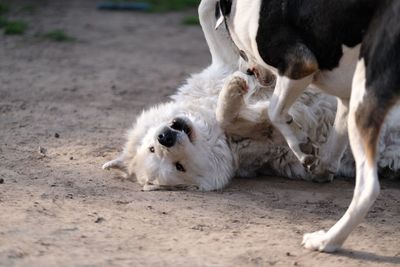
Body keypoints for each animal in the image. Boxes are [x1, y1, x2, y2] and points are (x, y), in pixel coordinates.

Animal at [102, 0, 400, 194]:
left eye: (152, 147)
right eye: (178, 167)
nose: (165, 137)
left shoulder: (226, 62)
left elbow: (204, 13)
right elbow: (258, 115)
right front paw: (236, 94)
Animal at [211, 0, 398, 253]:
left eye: (239, 50)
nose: (247, 72)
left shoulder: (299, 66)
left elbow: (275, 111)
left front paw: (301, 146)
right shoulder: (347, 99)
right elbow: (330, 151)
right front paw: (317, 167)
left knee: (368, 189)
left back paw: (328, 241)